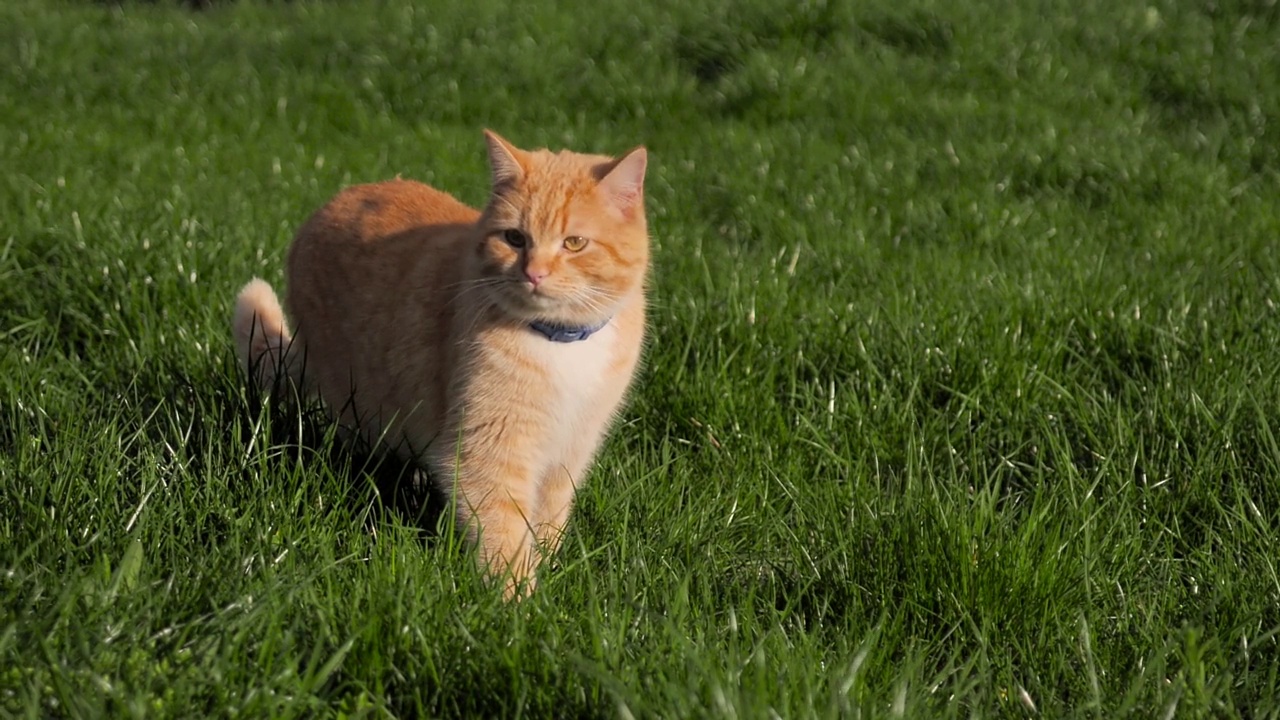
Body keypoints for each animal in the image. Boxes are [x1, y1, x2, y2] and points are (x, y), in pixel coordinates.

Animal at [231, 131, 650, 597]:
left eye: (574, 243)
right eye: (515, 238)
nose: (534, 273)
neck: (558, 340)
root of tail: (332, 202)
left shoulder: (571, 450)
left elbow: (547, 521)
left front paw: (547, 572)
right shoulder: (488, 452)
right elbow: (504, 532)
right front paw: (518, 601)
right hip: (360, 404)